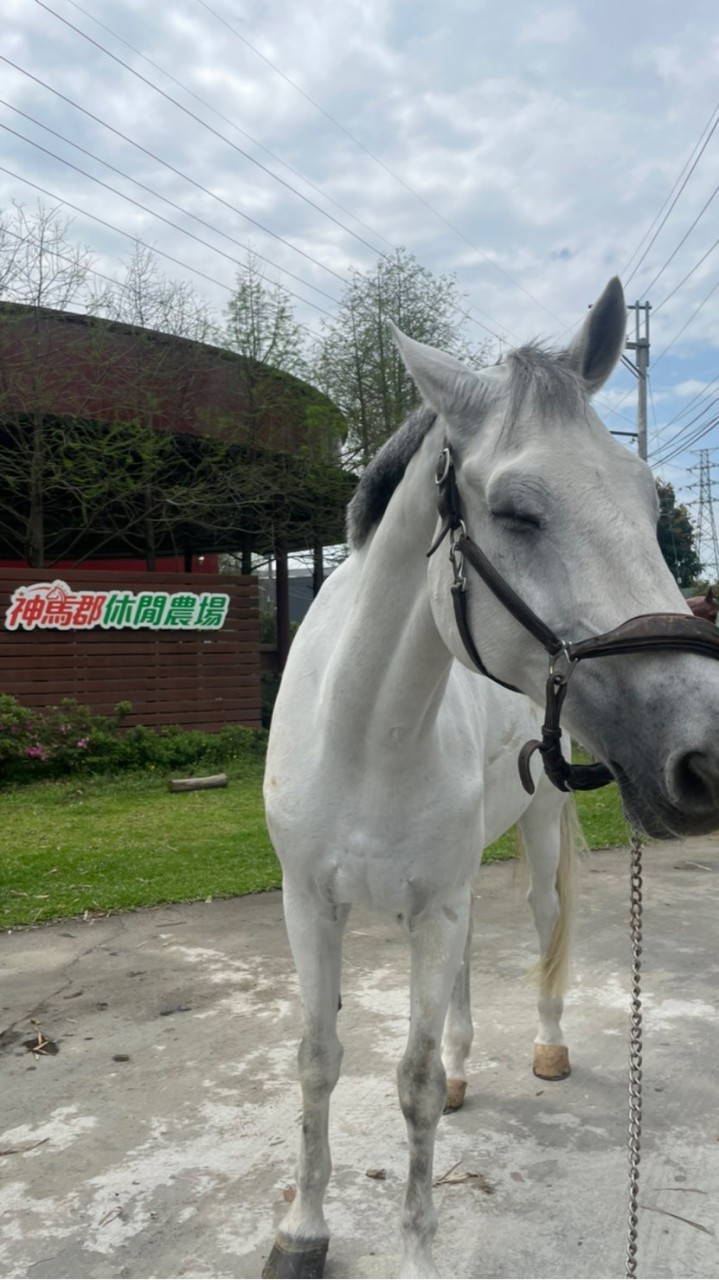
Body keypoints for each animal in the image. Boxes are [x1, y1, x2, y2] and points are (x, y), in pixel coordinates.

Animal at [263, 278, 719, 1280]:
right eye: (515, 512)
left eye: (647, 501)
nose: (703, 756)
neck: (366, 730)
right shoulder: (308, 904)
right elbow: (318, 1059)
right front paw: (302, 1231)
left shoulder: (434, 904)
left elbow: (414, 1081)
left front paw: (418, 1252)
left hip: (535, 832)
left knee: (543, 927)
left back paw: (545, 1048)